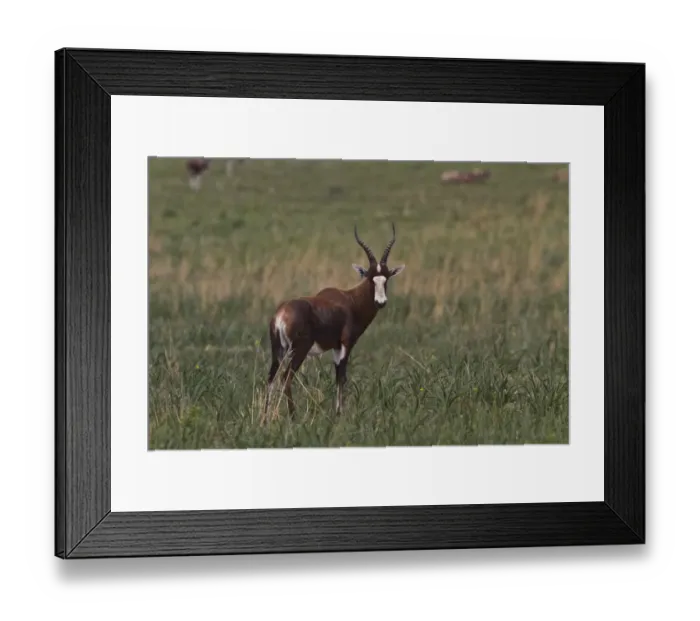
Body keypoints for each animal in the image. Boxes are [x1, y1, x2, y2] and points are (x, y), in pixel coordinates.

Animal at [263, 223, 406, 418]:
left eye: (386, 279)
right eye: (370, 279)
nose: (381, 302)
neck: (349, 301)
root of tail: (281, 315)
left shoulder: (336, 347)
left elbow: (337, 376)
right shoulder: (346, 344)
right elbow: (342, 376)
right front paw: (340, 414)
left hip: (278, 350)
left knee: (271, 379)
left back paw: (264, 419)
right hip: (298, 350)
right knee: (285, 378)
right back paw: (293, 417)